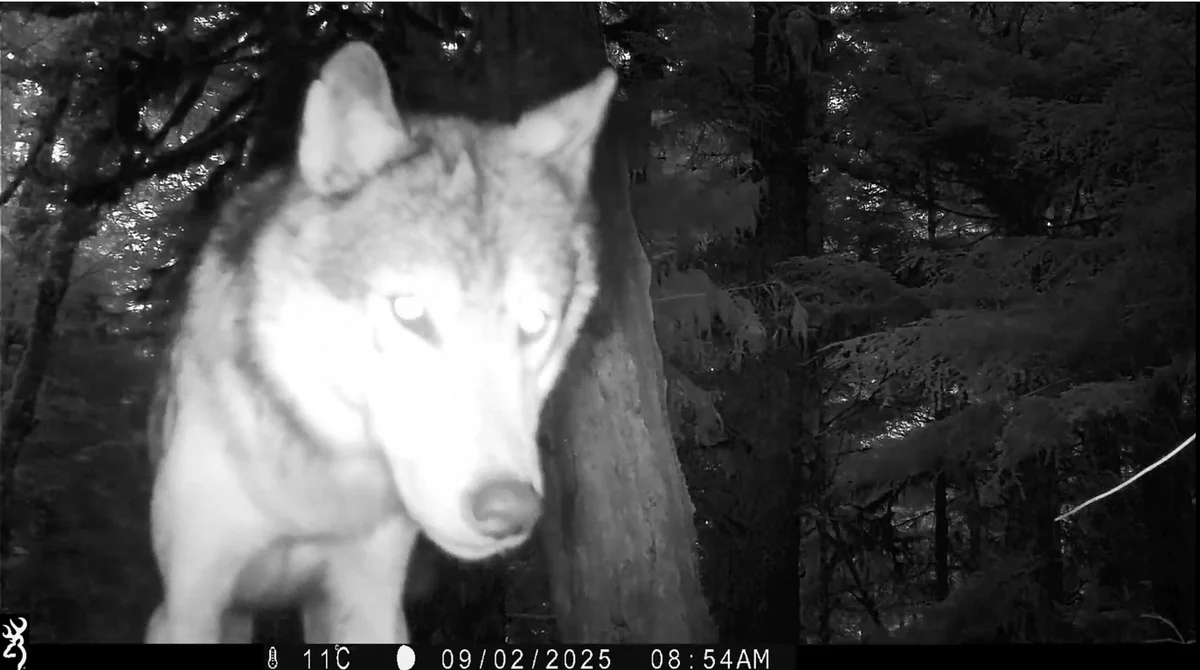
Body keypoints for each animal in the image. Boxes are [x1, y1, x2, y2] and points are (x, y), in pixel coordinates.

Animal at [144, 41, 616, 644]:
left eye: (534, 324)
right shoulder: (188, 606)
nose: (508, 510)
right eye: (409, 312)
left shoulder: (369, 602)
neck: (324, 485)